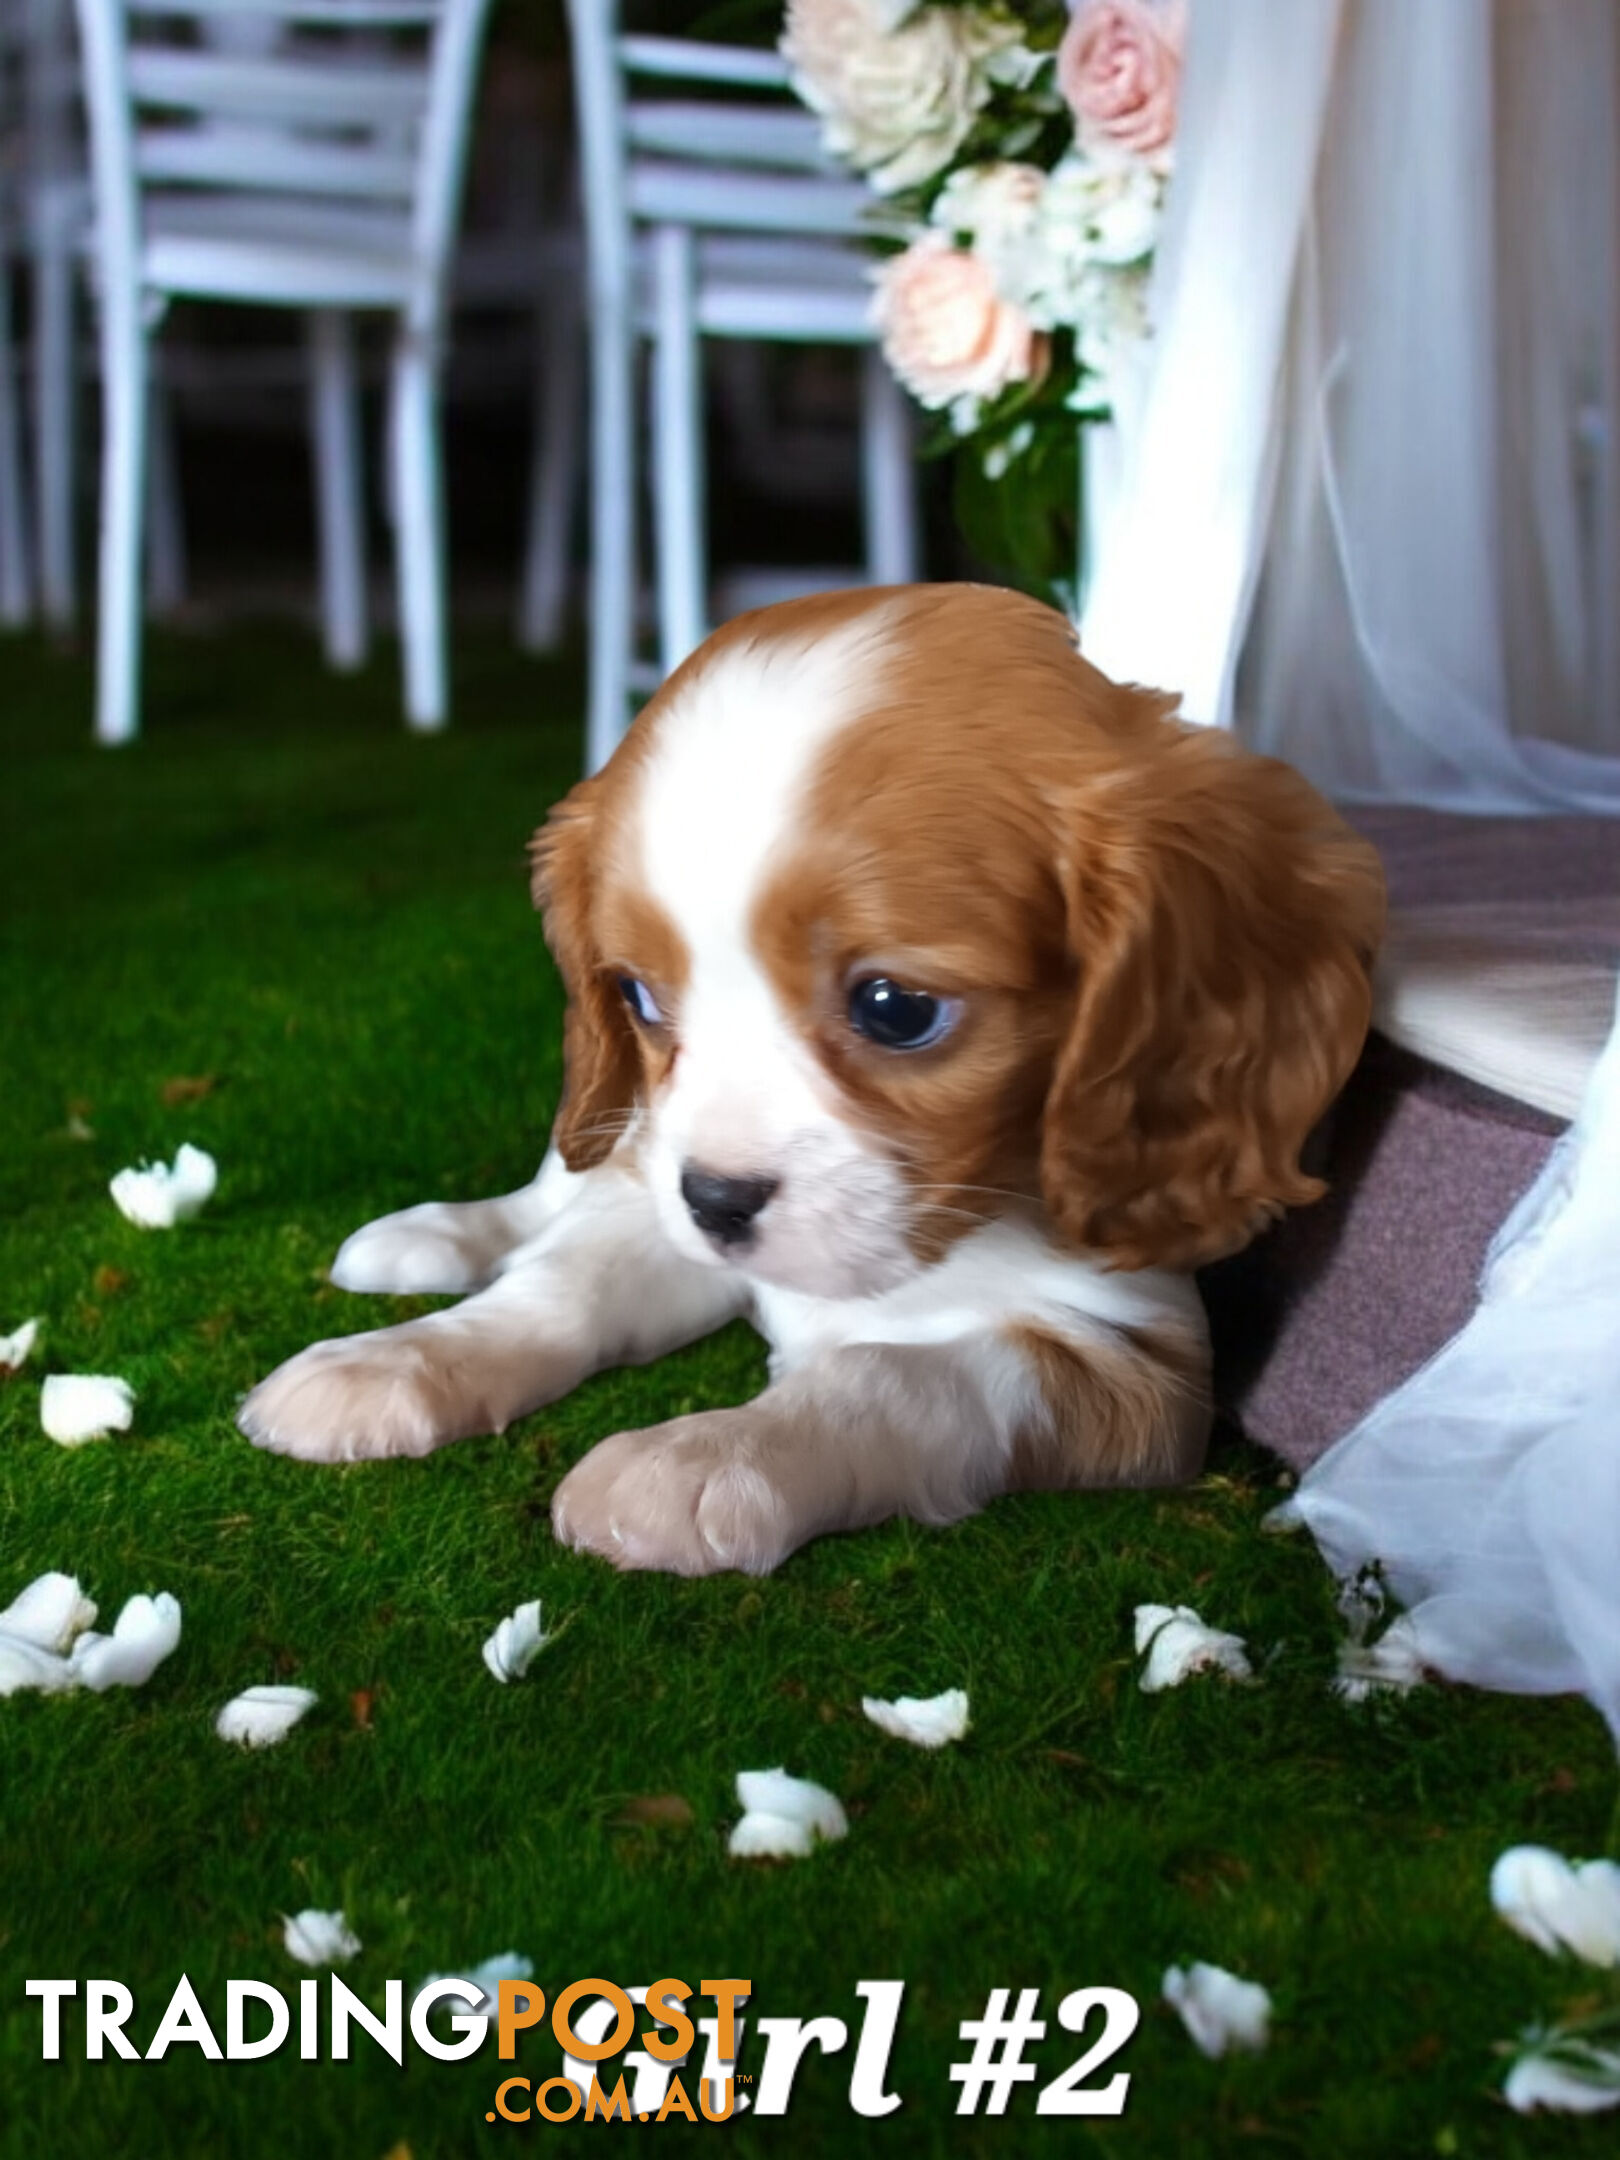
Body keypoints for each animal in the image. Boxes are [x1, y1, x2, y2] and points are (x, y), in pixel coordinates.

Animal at [237, 587, 1382, 1572]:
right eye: (638, 997)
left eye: (896, 1008)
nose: (717, 1200)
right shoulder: (662, 1199)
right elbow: (562, 1285)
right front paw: (397, 1362)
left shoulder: (1138, 1360)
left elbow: (897, 1373)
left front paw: (699, 1460)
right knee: (570, 1178)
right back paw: (439, 1237)